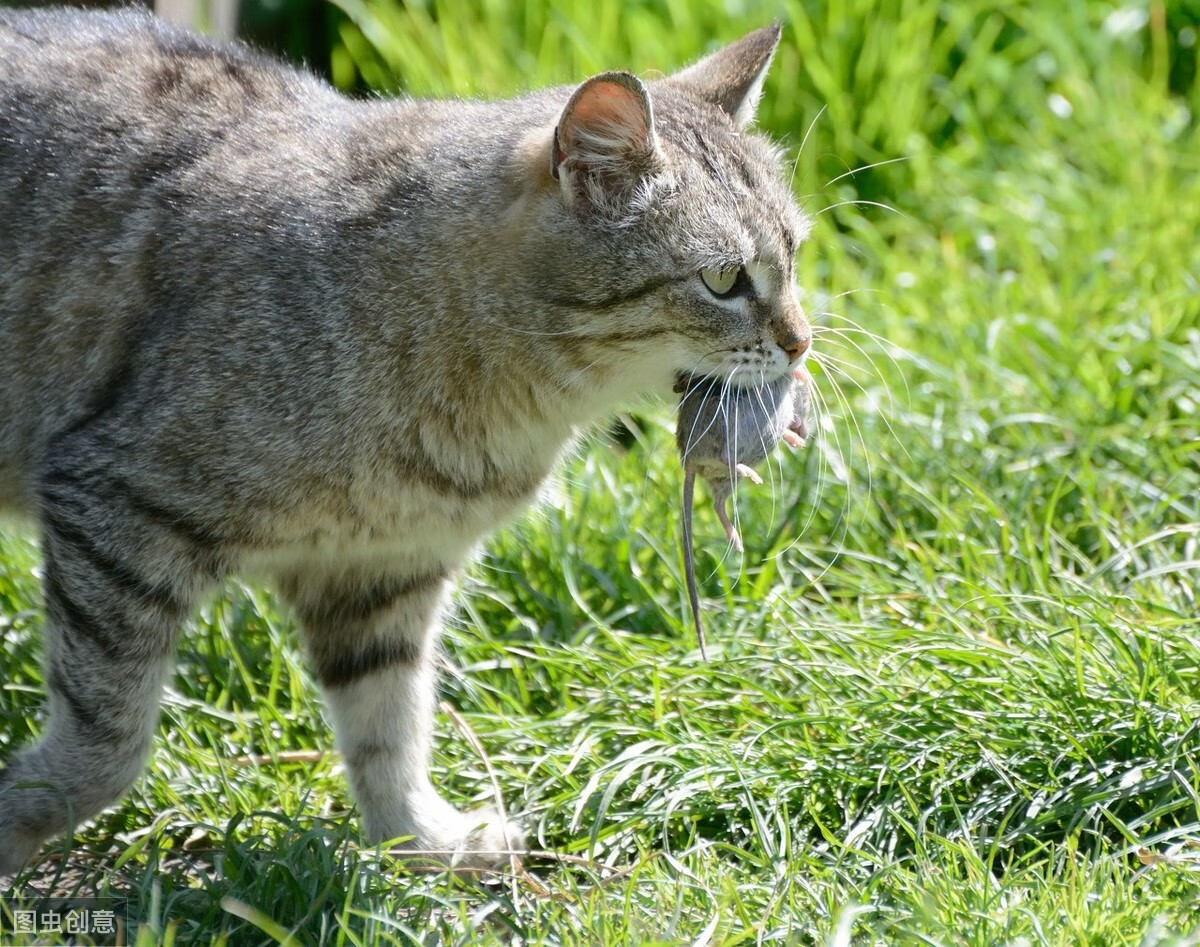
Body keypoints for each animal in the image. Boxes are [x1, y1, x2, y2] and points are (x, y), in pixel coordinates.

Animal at [0, 9, 816, 873]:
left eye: (795, 254)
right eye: (724, 280)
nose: (801, 343)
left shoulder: (384, 570)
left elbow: (389, 727)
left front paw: (420, 837)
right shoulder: (117, 503)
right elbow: (107, 741)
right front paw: (21, 813)